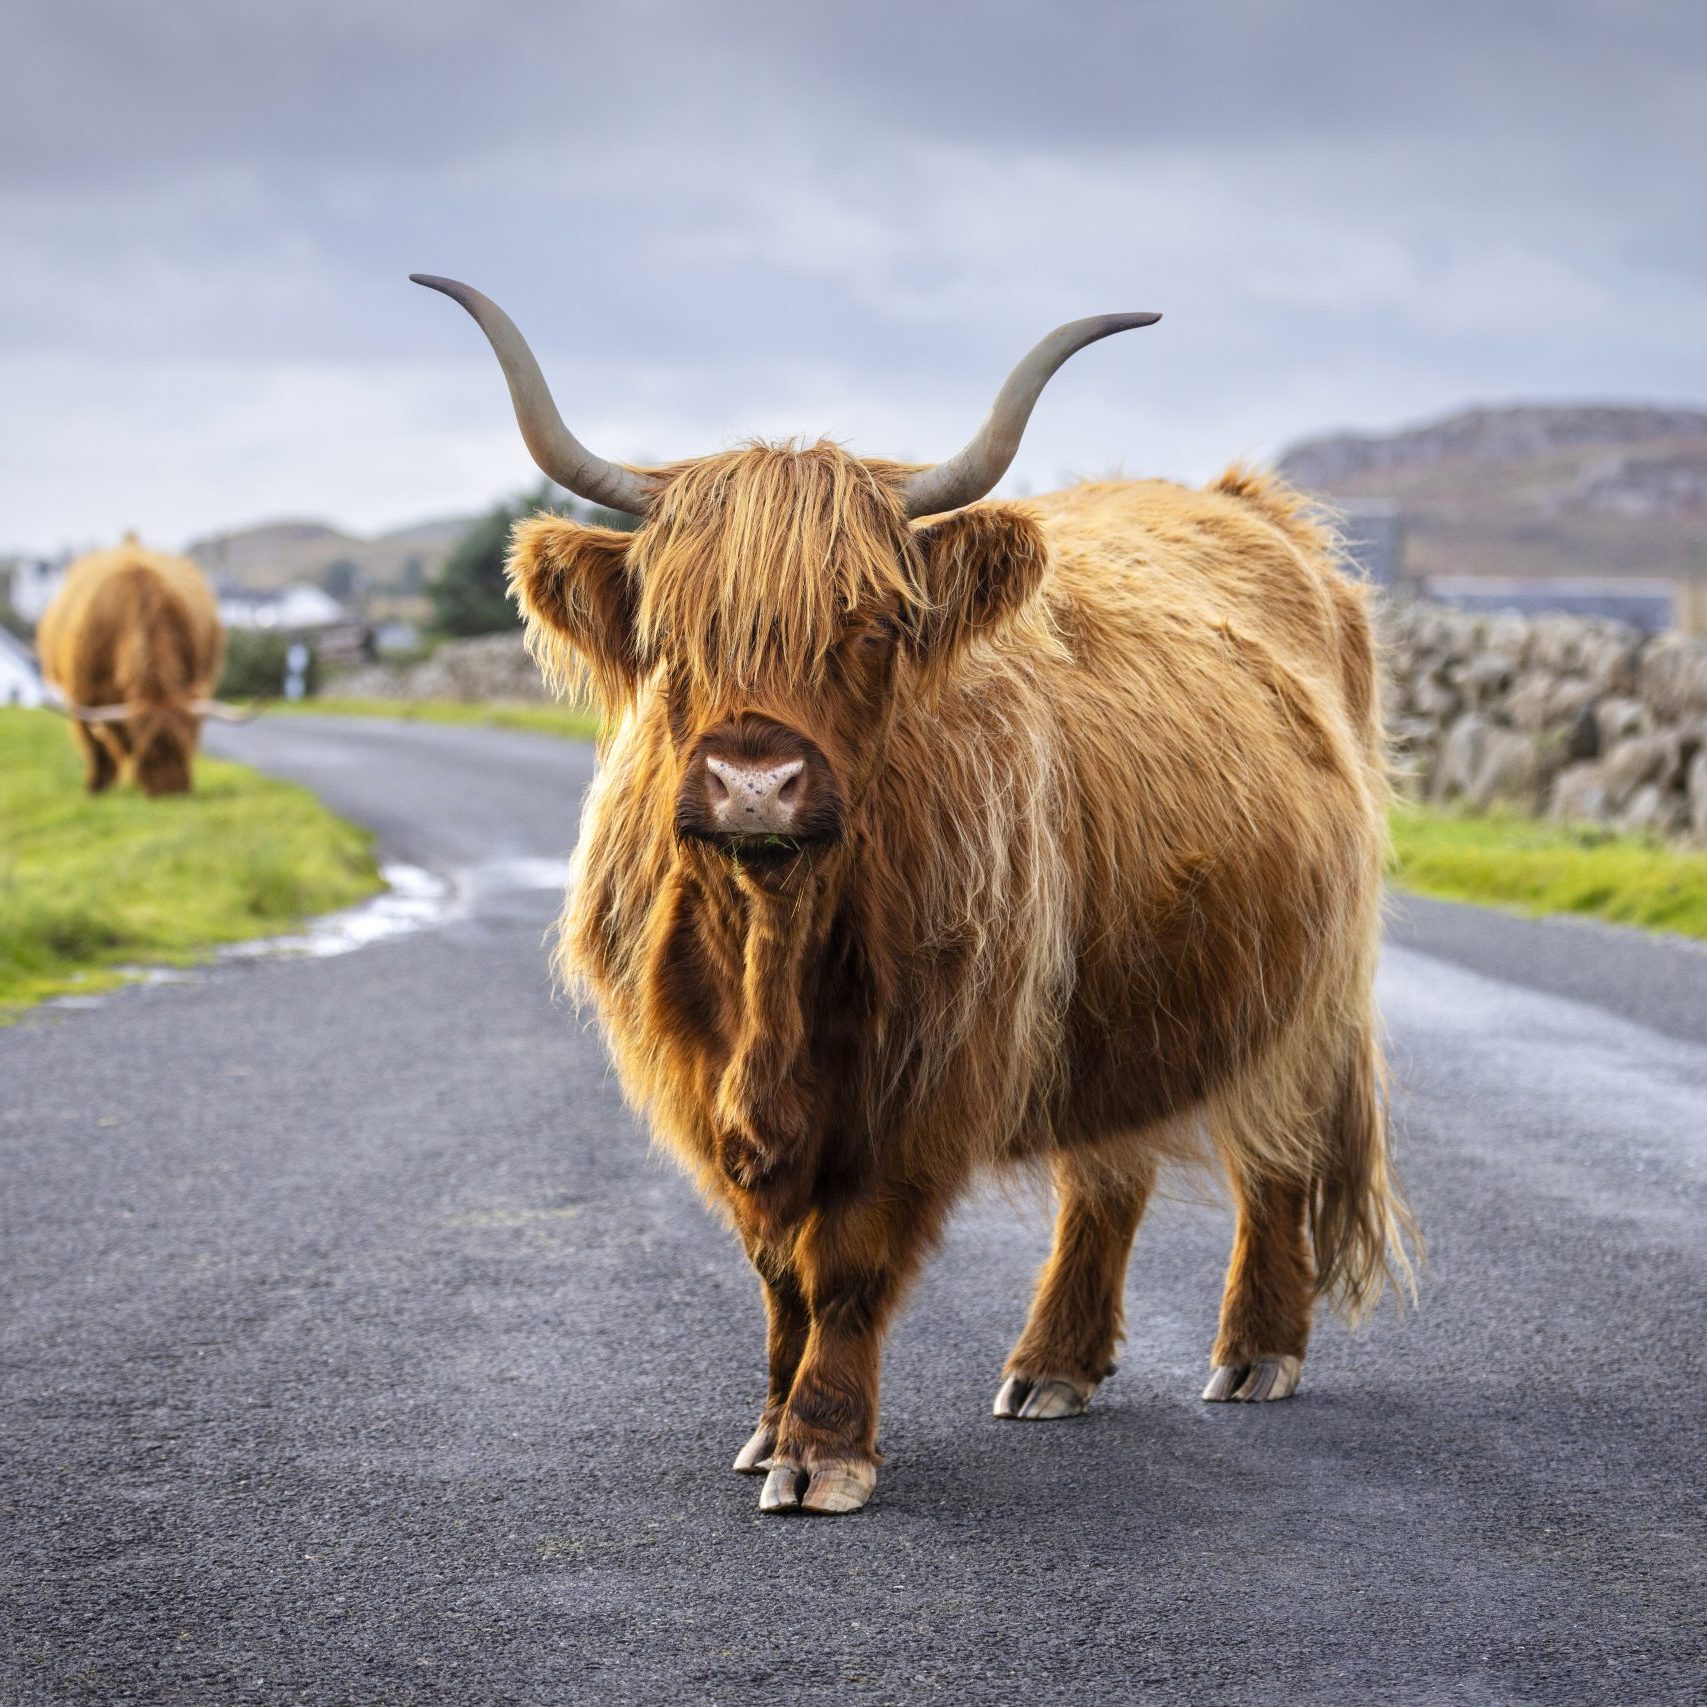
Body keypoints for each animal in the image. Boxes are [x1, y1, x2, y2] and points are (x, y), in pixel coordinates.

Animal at [419, 273, 1420, 1515]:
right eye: (674, 633)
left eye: (869, 626)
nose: (756, 782)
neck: (775, 952)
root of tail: (1262, 517)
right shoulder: (703, 1079)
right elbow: (776, 1267)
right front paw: (768, 1425)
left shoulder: (925, 1070)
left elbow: (848, 1260)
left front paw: (821, 1450)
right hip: (1119, 990)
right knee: (1107, 1170)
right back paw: (1054, 1364)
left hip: (1306, 987)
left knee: (1276, 1153)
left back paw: (1256, 1350)